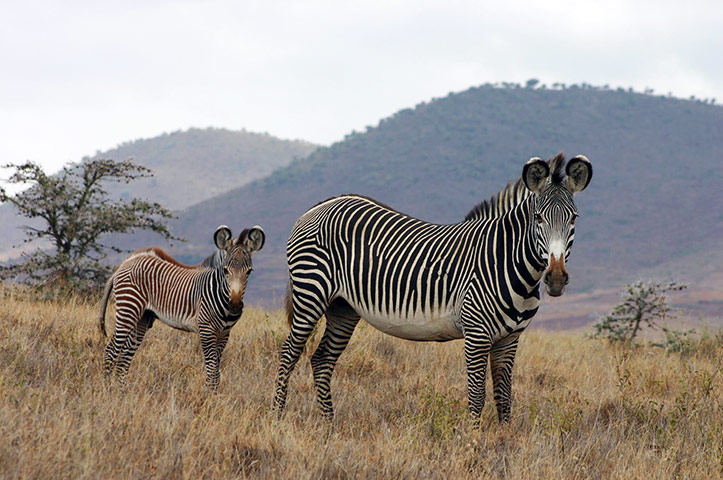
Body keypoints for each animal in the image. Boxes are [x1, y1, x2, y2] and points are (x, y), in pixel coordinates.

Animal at [98, 225, 265, 390]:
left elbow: (216, 372)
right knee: (111, 350)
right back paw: (108, 389)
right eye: (225, 270)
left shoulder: (224, 333)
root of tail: (126, 262)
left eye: (249, 271)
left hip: (142, 317)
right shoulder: (206, 330)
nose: (235, 305)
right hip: (128, 309)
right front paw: (208, 394)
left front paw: (215, 394)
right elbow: (211, 369)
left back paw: (123, 391)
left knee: (125, 356)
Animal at [273, 153, 592, 422]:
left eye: (574, 218)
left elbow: (504, 399)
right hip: (311, 293)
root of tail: (318, 206)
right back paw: (278, 417)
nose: (555, 279)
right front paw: (472, 446)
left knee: (321, 360)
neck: (505, 262)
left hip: (343, 308)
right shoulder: (476, 334)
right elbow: (477, 397)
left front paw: (503, 444)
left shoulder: (509, 339)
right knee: (288, 353)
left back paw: (329, 425)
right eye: (538, 218)